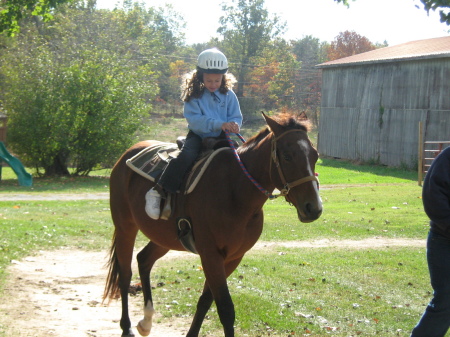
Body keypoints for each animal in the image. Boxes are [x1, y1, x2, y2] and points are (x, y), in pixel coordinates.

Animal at [104, 111, 324, 334]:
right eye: (287, 156)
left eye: (315, 156)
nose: (313, 208)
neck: (235, 192)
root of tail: (126, 157)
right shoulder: (211, 256)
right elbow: (226, 309)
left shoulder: (233, 258)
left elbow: (205, 301)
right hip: (125, 228)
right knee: (125, 275)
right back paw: (127, 327)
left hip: (164, 238)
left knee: (144, 260)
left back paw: (146, 321)